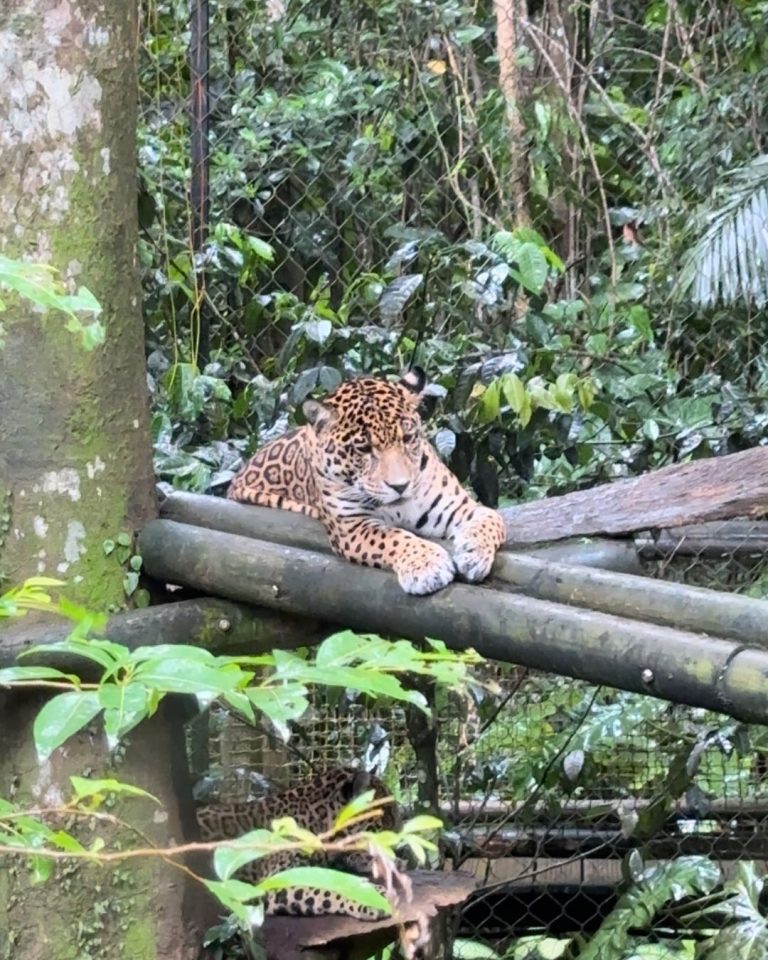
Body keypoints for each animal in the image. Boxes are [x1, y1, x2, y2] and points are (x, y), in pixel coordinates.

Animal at [227, 368, 507, 595]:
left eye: (408, 438)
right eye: (363, 449)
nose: (400, 486)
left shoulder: (460, 506)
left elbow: (491, 521)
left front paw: (472, 555)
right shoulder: (352, 526)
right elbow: (393, 537)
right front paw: (427, 566)